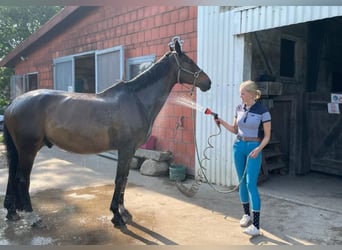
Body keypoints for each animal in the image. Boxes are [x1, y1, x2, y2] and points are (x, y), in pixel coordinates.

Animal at [2, 37, 211, 229]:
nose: (207, 82)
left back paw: (13, 213)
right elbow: (119, 180)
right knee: (22, 178)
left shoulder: (130, 150)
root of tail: (13, 104)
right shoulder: (125, 149)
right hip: (28, 149)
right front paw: (116, 216)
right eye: (189, 61)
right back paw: (32, 217)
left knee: (12, 176)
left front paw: (124, 211)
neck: (137, 100)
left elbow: (125, 179)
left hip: (19, 150)